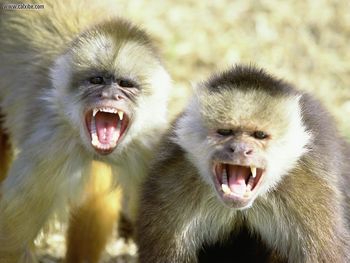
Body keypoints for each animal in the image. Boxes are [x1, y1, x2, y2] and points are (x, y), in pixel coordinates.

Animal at [0, 1, 171, 262]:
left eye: (125, 85)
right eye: (97, 80)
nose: (109, 94)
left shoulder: (150, 148)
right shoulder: (51, 148)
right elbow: (11, 241)